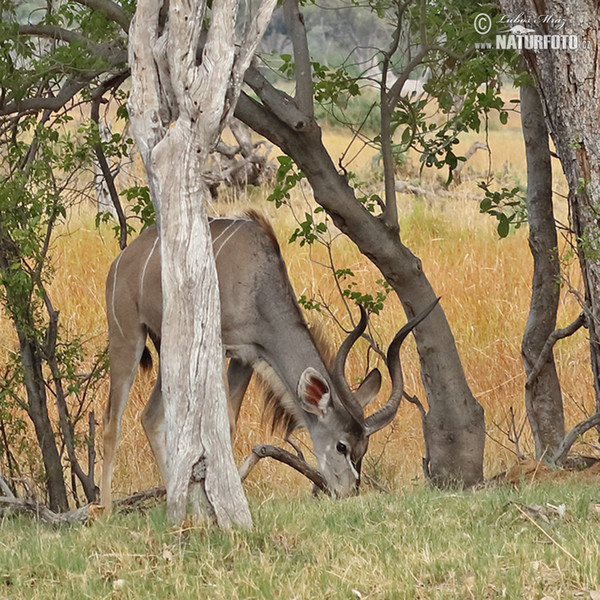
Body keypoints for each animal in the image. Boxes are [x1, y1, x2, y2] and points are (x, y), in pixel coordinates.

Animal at [101, 211, 434, 506]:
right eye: (341, 446)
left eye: (363, 449)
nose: (348, 490)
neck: (258, 284)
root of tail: (119, 261)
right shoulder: (220, 346)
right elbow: (221, 424)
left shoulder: (245, 357)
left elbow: (230, 425)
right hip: (127, 335)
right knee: (111, 420)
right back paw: (104, 509)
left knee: (150, 416)